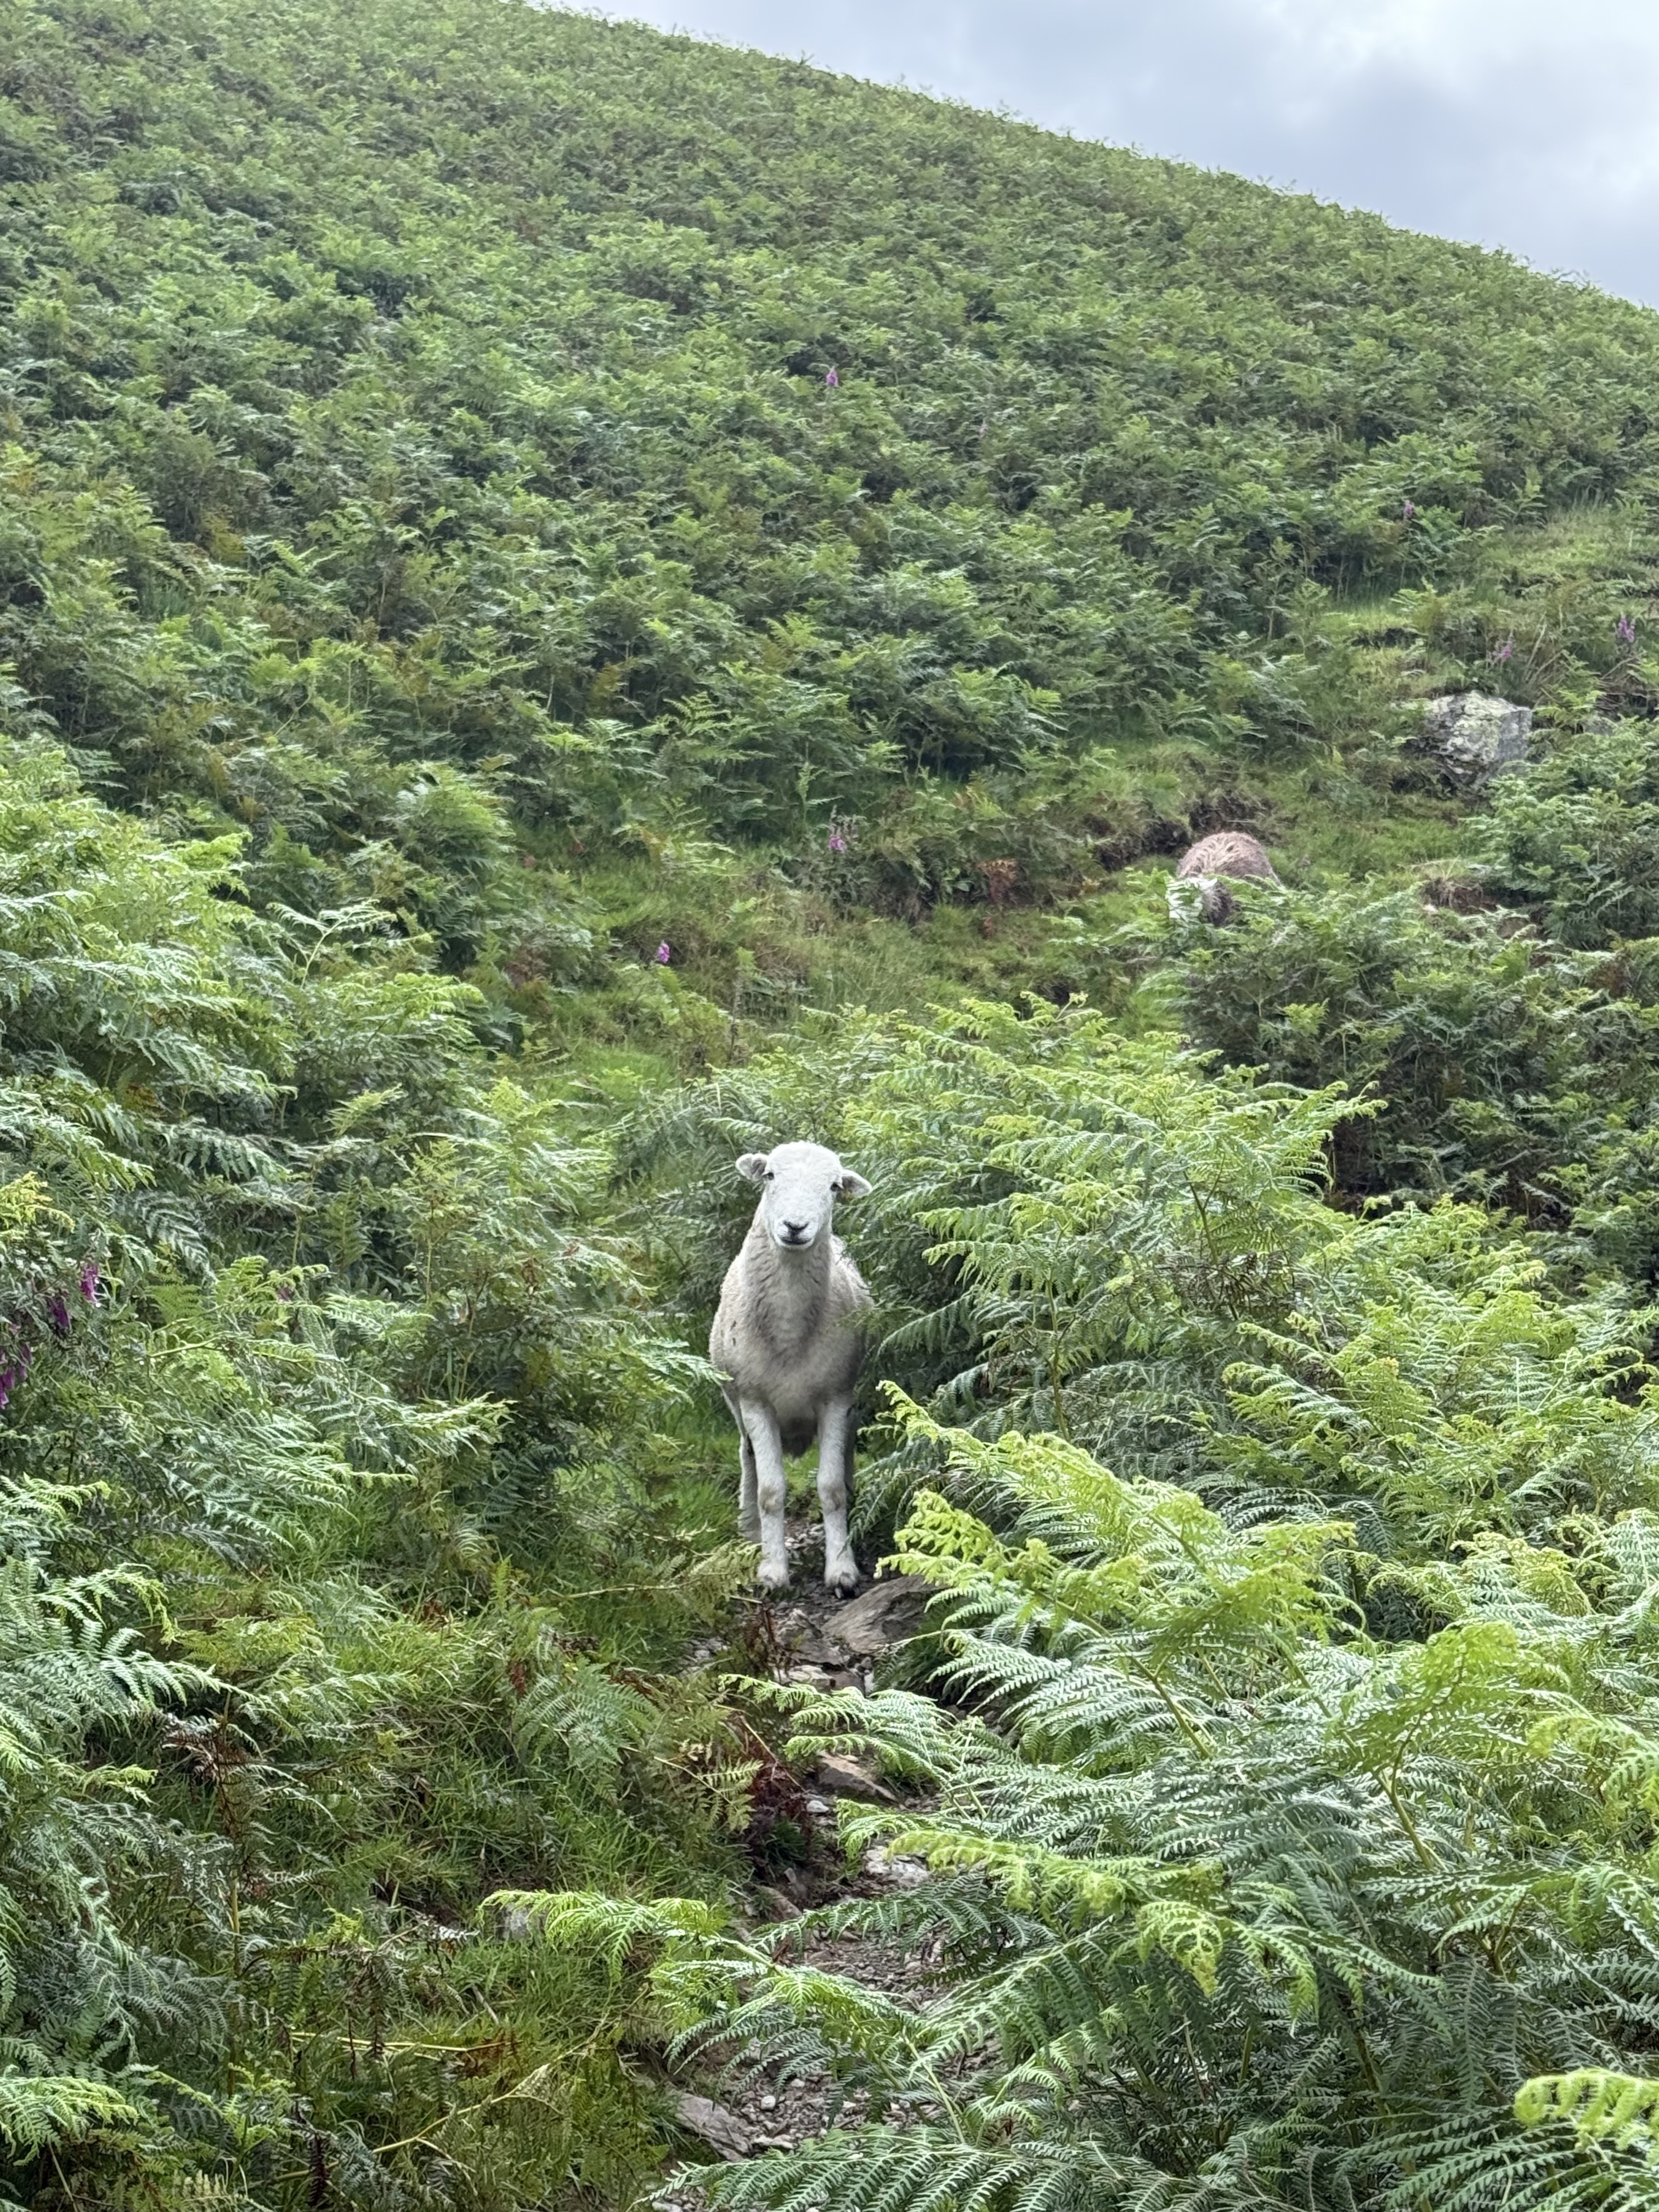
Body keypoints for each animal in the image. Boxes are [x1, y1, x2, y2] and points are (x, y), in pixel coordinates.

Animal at [710, 1141, 872, 1595]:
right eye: (770, 1176)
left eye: (834, 1186)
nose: (795, 1227)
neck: (788, 1335)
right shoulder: (755, 1401)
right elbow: (770, 1491)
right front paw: (772, 1572)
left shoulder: (836, 1397)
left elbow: (831, 1489)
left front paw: (842, 1569)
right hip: (737, 1406)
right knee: (747, 1459)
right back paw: (749, 1531)